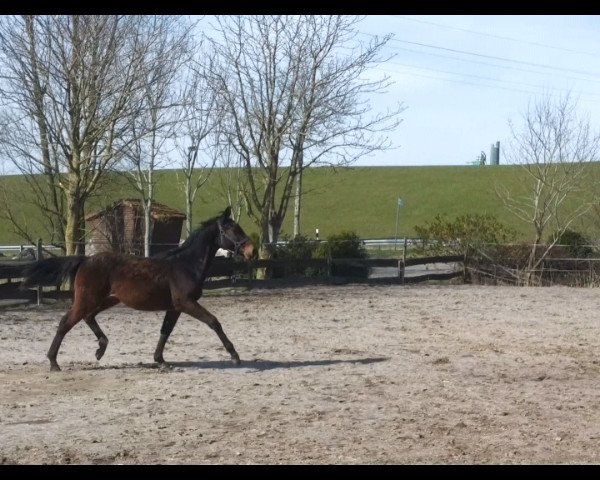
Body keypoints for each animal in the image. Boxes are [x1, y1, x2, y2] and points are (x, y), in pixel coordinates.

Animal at [20, 206, 253, 372]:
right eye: (231, 229)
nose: (250, 249)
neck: (185, 265)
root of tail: (85, 259)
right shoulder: (186, 303)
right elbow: (214, 322)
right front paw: (235, 356)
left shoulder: (175, 307)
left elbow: (165, 331)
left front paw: (160, 360)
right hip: (88, 299)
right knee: (65, 322)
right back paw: (54, 362)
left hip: (108, 299)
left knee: (88, 317)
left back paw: (100, 349)